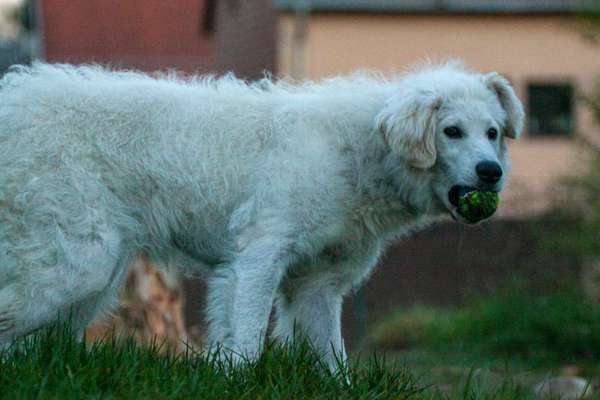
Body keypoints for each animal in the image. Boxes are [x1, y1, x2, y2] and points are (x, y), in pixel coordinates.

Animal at [0, 61, 520, 368]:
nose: (491, 172)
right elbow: (248, 343)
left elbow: (335, 365)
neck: (356, 152)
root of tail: (14, 102)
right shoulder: (258, 259)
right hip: (77, 265)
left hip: (90, 280)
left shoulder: (316, 286)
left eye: (492, 132)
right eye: (451, 131)